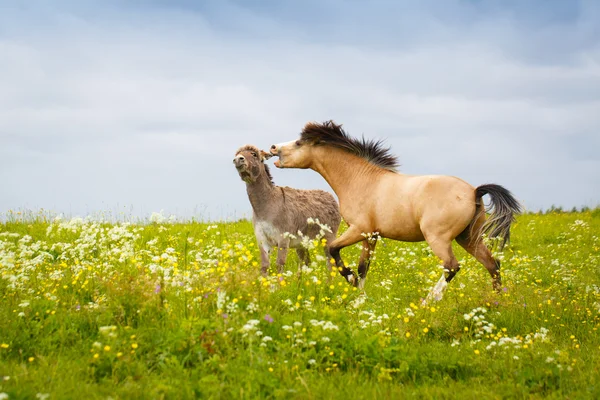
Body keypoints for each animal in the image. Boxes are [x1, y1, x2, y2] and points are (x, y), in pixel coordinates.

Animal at [270, 121, 524, 300]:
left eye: (299, 143)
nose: (273, 147)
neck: (360, 180)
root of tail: (474, 192)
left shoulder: (359, 230)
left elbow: (334, 250)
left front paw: (350, 279)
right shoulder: (370, 236)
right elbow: (364, 267)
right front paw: (359, 298)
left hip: (438, 238)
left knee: (452, 266)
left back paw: (429, 301)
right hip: (468, 238)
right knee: (492, 264)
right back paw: (496, 302)